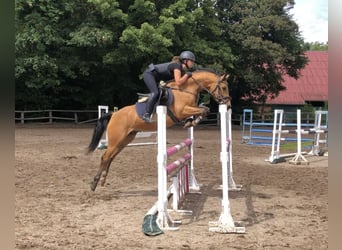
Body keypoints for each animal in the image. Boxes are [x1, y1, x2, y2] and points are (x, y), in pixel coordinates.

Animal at [85, 69, 231, 191]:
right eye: (224, 88)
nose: (228, 105)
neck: (186, 90)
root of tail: (114, 114)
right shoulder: (182, 111)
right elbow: (204, 109)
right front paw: (193, 121)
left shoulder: (190, 109)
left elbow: (203, 109)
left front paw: (191, 122)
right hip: (117, 139)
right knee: (105, 157)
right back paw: (94, 183)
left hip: (125, 139)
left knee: (111, 157)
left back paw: (103, 179)